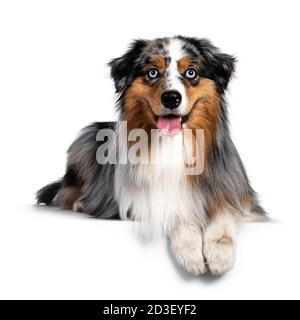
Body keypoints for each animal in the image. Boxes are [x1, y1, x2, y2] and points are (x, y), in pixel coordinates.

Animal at [36, 35, 266, 276]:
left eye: (191, 72)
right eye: (153, 72)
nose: (171, 98)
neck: (172, 142)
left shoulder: (236, 195)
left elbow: (225, 215)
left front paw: (220, 254)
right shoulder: (146, 202)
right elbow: (177, 214)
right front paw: (191, 254)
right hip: (88, 138)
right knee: (66, 192)